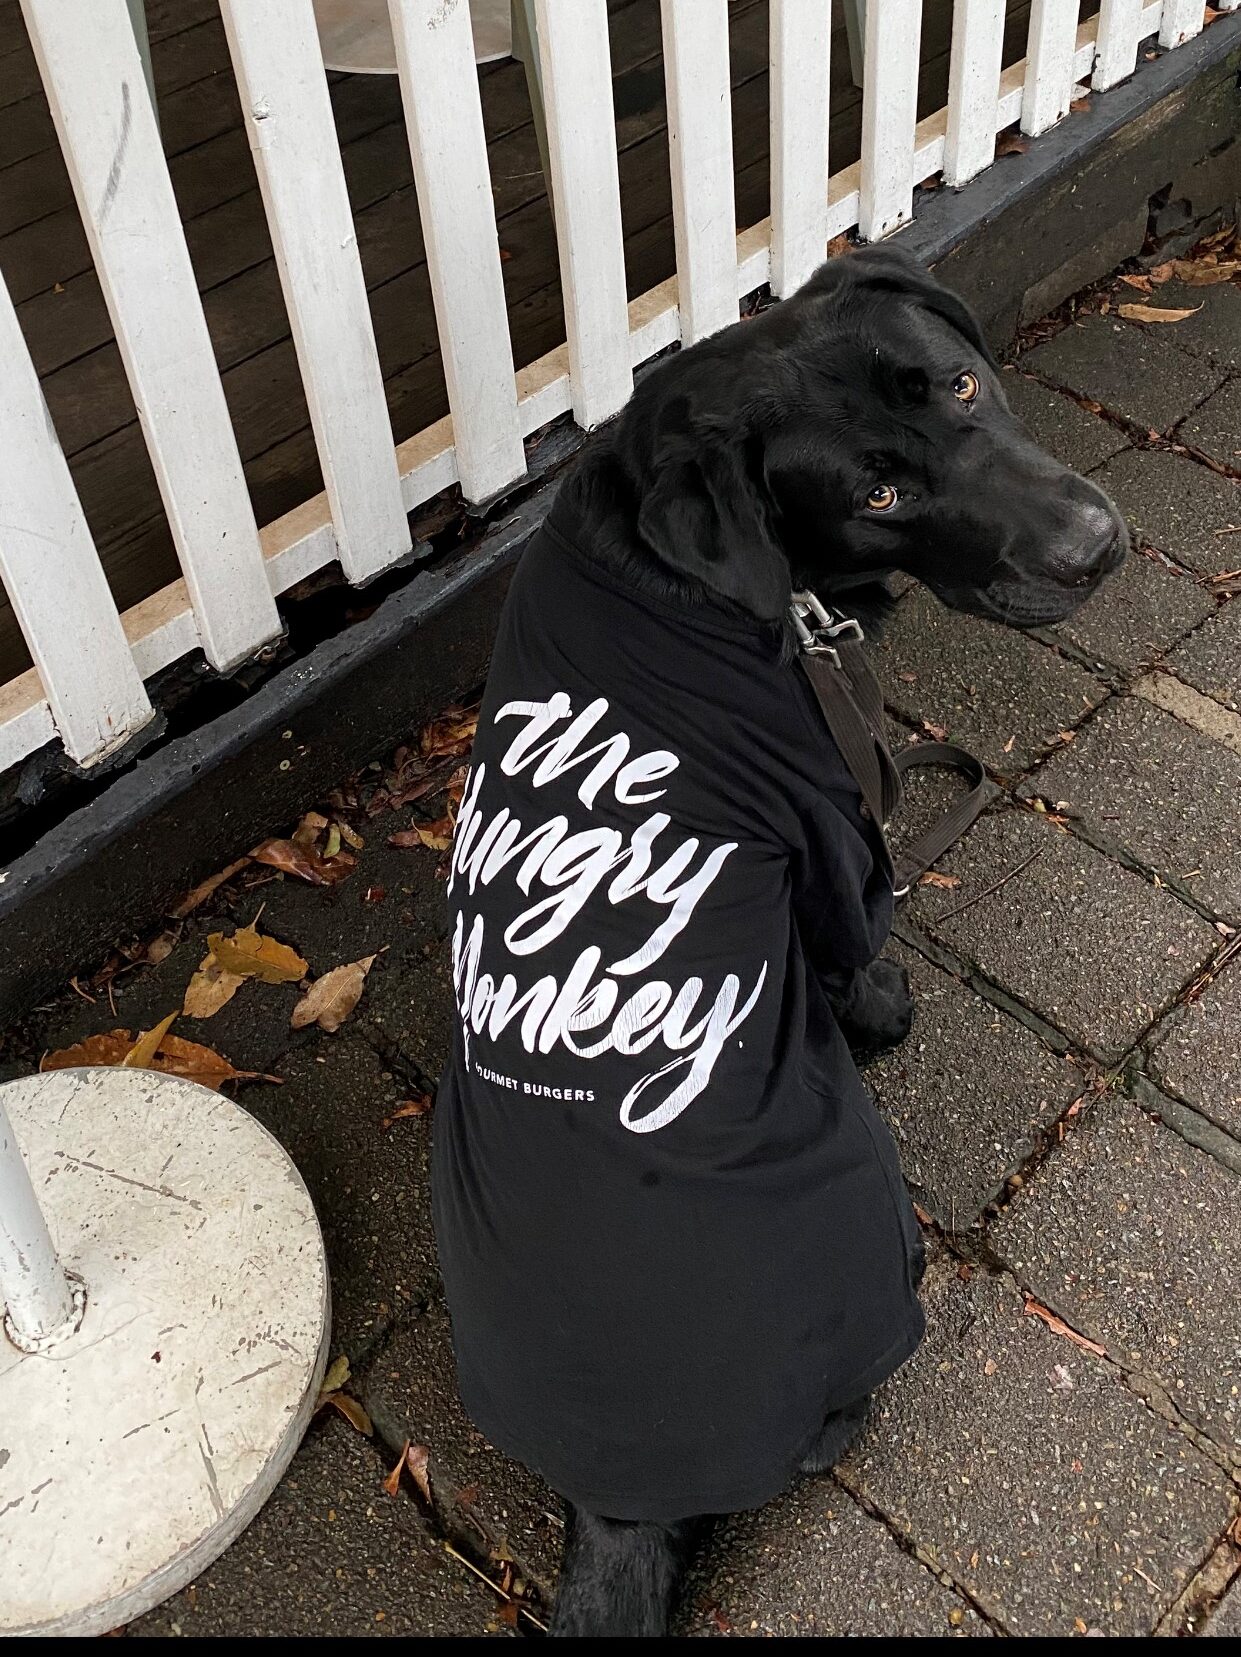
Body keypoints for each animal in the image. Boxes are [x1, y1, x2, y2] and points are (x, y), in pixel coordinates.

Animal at [434, 241, 1120, 1630]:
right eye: (879, 491)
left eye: (960, 382)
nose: (1096, 548)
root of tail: (618, 1502)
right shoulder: (829, 829)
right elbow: (856, 951)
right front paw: (885, 1010)